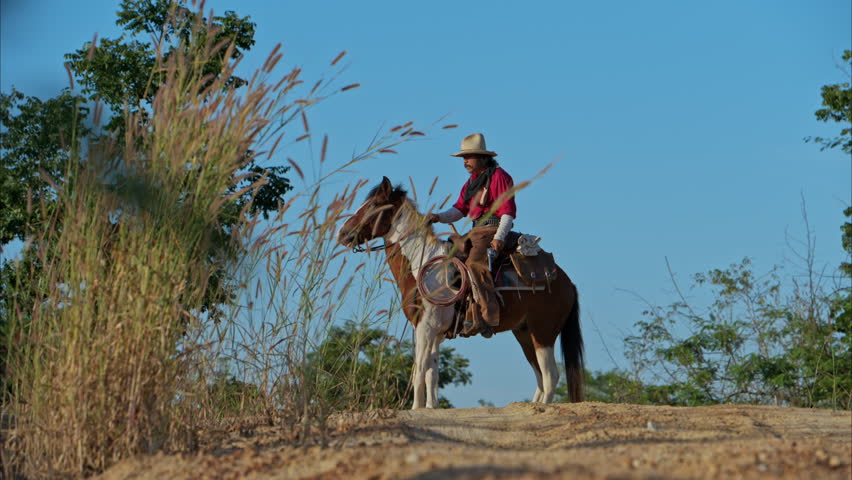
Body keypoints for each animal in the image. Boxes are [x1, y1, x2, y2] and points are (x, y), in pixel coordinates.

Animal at [337, 177, 584, 409]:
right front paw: (431, 407)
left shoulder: (424, 328)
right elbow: (432, 372)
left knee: (551, 377)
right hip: (524, 334)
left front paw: (416, 408)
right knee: (540, 377)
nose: (343, 233)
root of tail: (567, 282)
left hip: (543, 334)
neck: (423, 266)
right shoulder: (435, 333)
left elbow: (419, 370)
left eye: (375, 205)